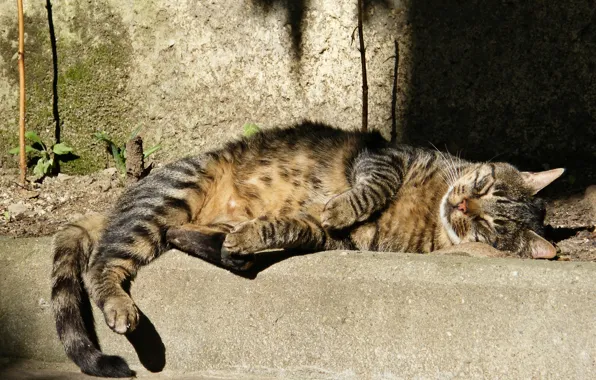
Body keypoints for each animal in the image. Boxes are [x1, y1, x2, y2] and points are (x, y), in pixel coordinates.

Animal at [51, 121, 564, 378]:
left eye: (486, 225)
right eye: (483, 185)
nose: (460, 204)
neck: (430, 209)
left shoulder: (336, 237)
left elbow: (290, 227)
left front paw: (264, 233)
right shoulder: (386, 157)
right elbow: (374, 185)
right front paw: (342, 205)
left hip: (185, 218)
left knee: (180, 241)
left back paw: (235, 249)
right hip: (173, 195)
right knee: (102, 264)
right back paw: (121, 305)